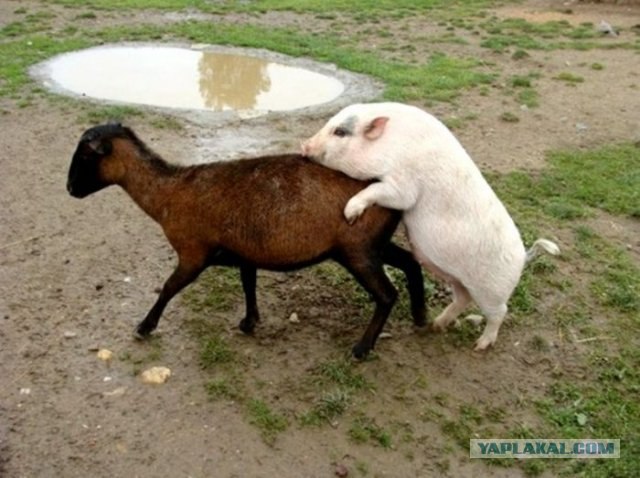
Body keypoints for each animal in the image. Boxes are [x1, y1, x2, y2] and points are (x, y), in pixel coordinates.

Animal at [66, 123, 427, 358]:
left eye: (85, 156)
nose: (70, 189)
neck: (168, 192)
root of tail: (393, 188)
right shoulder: (244, 253)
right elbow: (248, 284)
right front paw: (249, 322)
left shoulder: (193, 254)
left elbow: (169, 287)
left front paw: (144, 327)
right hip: (374, 245)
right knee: (411, 264)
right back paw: (421, 317)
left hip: (357, 250)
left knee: (386, 295)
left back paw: (362, 348)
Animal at [301, 102, 559, 351]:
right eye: (330, 123)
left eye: (340, 132)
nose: (304, 145)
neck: (389, 143)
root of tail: (524, 256)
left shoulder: (402, 187)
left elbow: (383, 192)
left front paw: (349, 213)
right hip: (459, 280)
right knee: (463, 299)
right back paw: (436, 325)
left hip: (493, 291)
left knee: (499, 313)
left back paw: (480, 346)